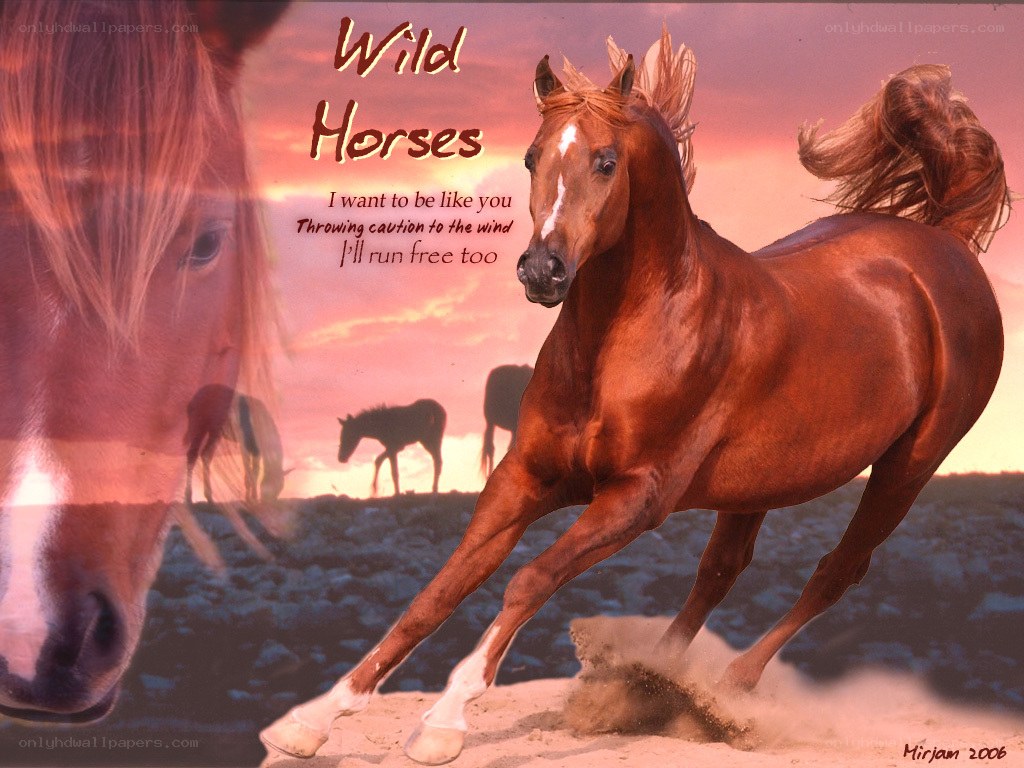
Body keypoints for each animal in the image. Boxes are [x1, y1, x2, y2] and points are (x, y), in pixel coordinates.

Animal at [261, 29, 1010, 765]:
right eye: (530, 156)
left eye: (605, 161)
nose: (542, 271)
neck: (629, 337)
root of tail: (943, 242)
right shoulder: (523, 476)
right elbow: (437, 591)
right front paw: (309, 721)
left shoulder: (635, 498)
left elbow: (529, 580)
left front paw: (442, 726)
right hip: (763, 479)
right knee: (721, 570)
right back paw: (651, 684)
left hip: (909, 465)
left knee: (837, 571)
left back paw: (725, 693)